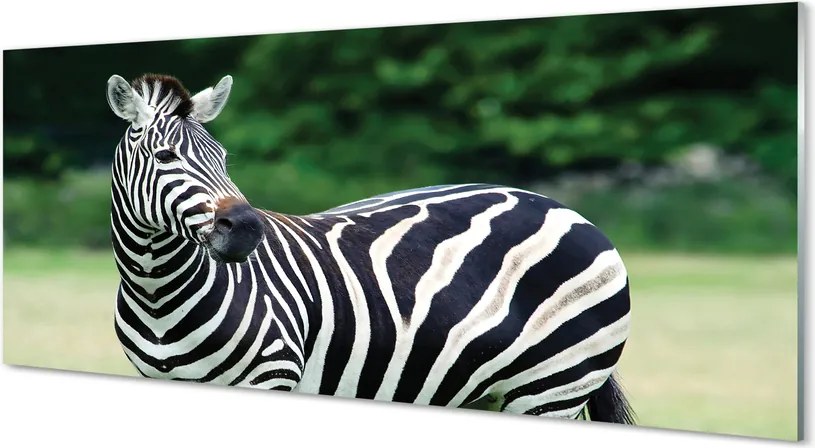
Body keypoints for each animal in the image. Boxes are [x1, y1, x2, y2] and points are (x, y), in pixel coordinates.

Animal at [106, 72, 635, 423]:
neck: (157, 292)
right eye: (164, 156)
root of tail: (563, 208)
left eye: (222, 158)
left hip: (554, 389)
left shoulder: (272, 376)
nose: (247, 230)